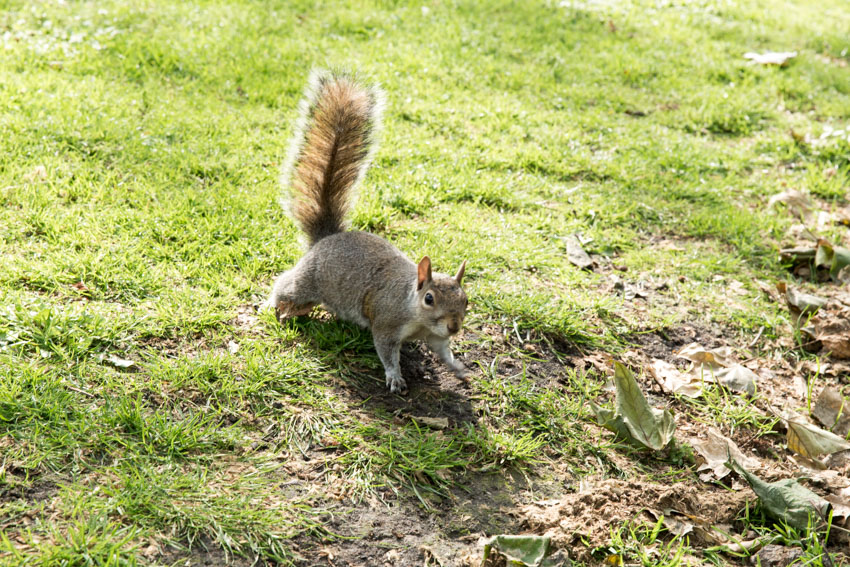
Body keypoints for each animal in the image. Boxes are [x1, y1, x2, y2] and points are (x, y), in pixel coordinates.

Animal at [264, 69, 468, 392]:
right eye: (429, 299)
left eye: (466, 300)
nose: (454, 326)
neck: (417, 316)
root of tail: (328, 237)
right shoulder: (386, 323)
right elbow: (386, 351)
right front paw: (395, 376)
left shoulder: (435, 337)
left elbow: (443, 352)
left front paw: (458, 368)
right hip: (307, 283)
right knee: (286, 287)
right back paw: (271, 305)